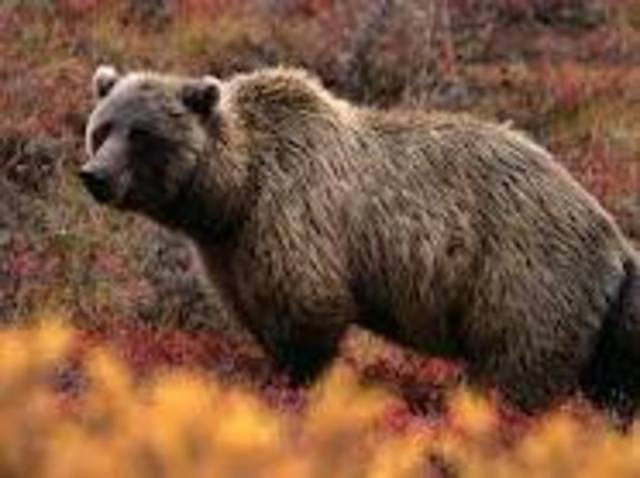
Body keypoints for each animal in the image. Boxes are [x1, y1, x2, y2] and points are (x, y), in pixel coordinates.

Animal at [80, 65, 640, 416]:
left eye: (141, 134)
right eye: (103, 128)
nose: (95, 176)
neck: (233, 193)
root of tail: (614, 236)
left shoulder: (292, 214)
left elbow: (307, 309)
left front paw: (297, 384)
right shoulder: (229, 250)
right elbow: (254, 310)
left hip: (525, 275)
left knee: (517, 370)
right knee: (616, 377)